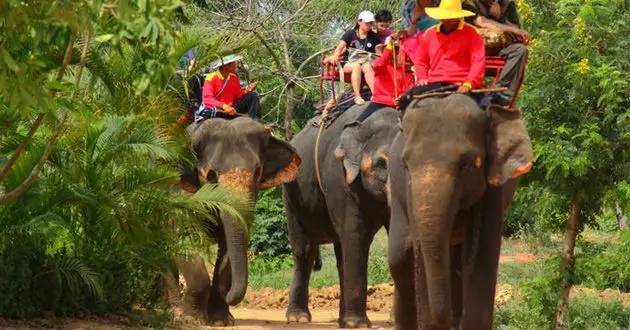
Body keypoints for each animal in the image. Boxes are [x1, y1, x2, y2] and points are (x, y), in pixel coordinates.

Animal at [169, 116, 302, 324]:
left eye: (257, 172)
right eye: (211, 176)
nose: (231, 299)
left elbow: (227, 246)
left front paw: (220, 321)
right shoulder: (179, 191)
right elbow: (185, 238)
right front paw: (190, 319)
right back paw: (171, 308)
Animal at [286, 103, 400, 328]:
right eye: (381, 164)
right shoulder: (340, 178)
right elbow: (355, 234)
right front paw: (357, 324)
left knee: (340, 254)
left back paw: (341, 320)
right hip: (291, 195)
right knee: (304, 252)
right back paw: (298, 318)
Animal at [390, 94, 532, 328]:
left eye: (467, 164)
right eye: (405, 165)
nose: (447, 319)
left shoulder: (493, 187)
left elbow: (479, 261)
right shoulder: (410, 191)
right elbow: (420, 258)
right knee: (400, 259)